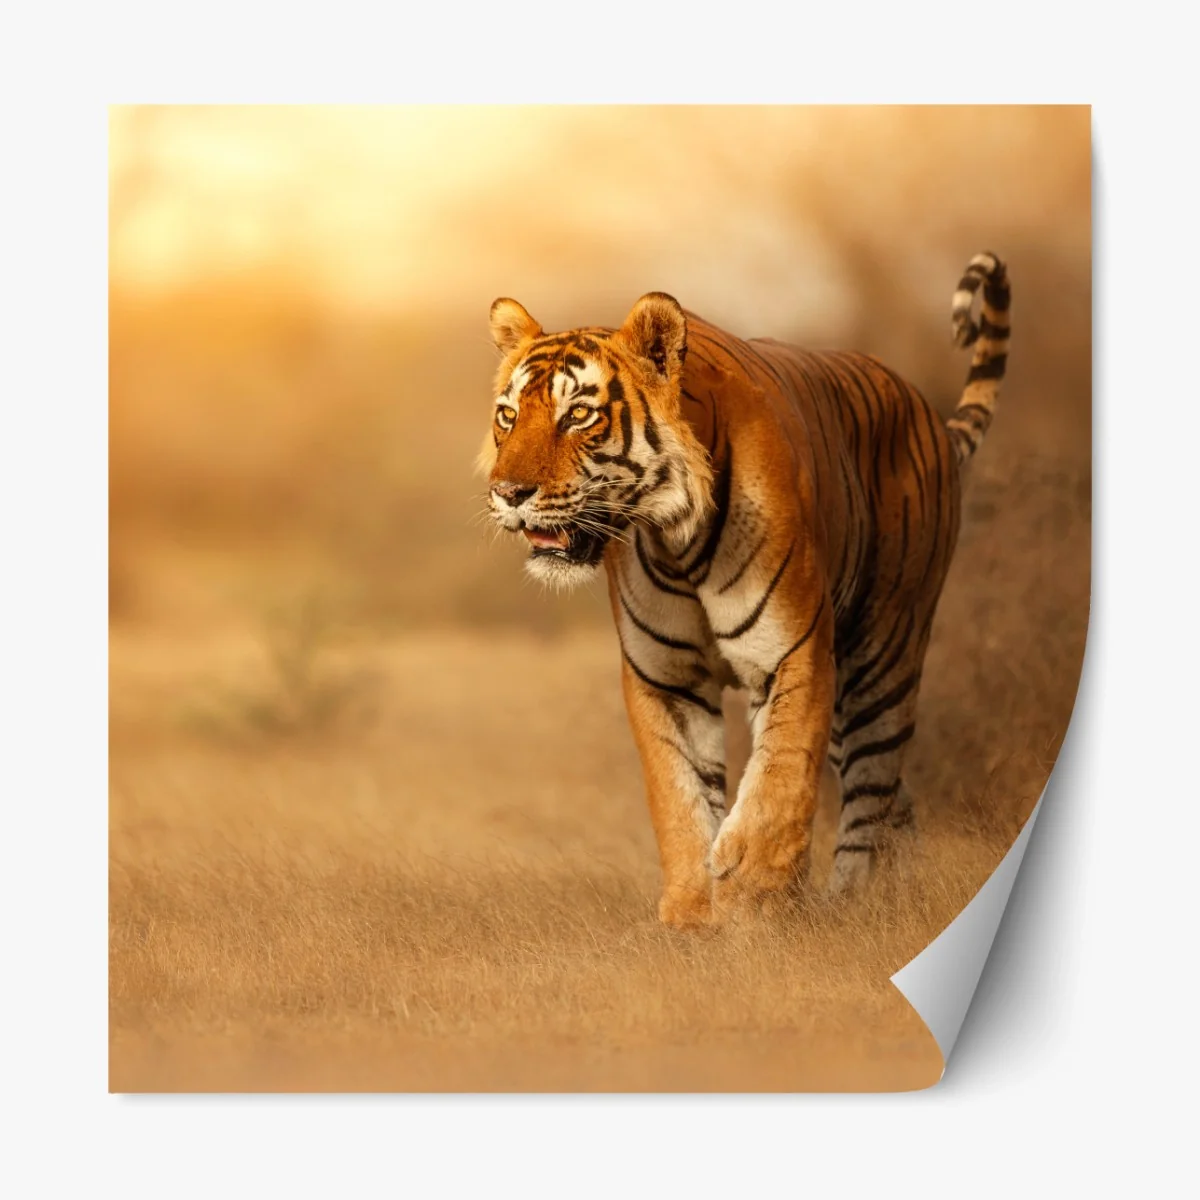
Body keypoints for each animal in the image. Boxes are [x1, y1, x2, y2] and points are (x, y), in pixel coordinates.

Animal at [478, 252, 1011, 929]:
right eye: (508, 415)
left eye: (578, 414)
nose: (508, 493)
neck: (674, 539)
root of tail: (928, 414)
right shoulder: (665, 678)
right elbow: (678, 796)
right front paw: (690, 912)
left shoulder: (793, 652)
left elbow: (779, 778)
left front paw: (752, 898)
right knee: (895, 798)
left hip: (882, 656)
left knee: (872, 788)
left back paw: (854, 901)